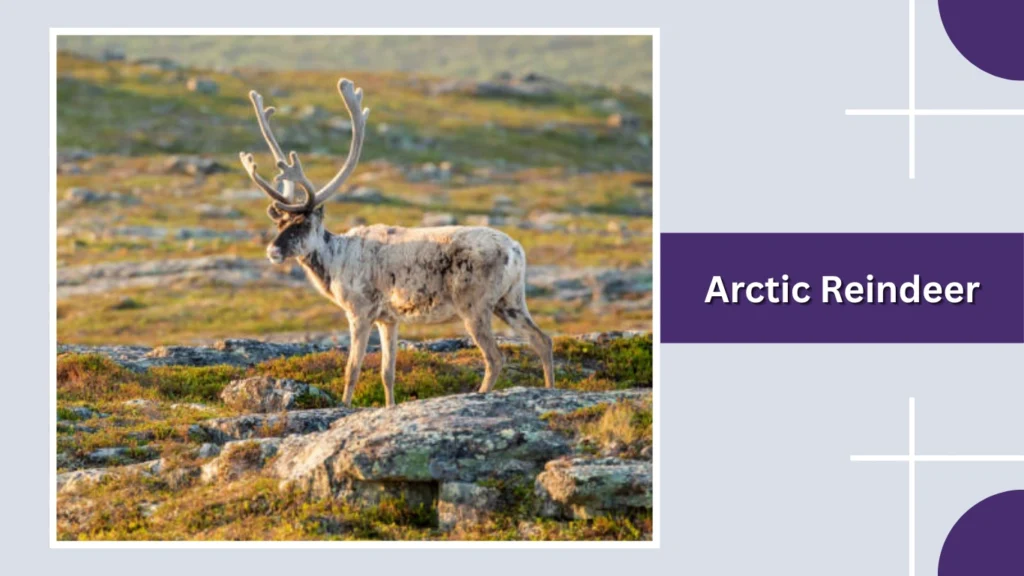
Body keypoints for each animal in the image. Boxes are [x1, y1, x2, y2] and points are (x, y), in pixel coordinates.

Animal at [238, 78, 555, 408]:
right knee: (542, 339)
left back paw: (481, 394)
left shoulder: (360, 312)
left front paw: (345, 406)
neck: (335, 259)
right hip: (511, 300)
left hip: (475, 306)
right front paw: (389, 405)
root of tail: (516, 250)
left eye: (302, 223)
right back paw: (549, 388)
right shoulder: (388, 320)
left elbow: (352, 369)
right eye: (280, 223)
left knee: (495, 357)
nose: (272, 250)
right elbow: (387, 372)